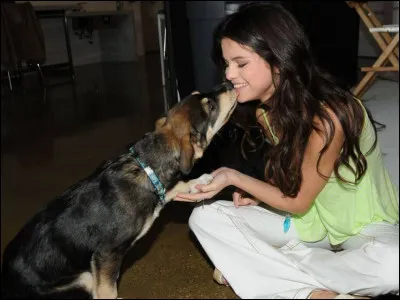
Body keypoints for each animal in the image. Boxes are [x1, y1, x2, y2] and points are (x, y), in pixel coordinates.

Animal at [0, 81, 236, 298]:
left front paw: (198, 181)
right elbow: (108, 291)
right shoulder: (106, 255)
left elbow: (175, 186)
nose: (228, 83)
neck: (146, 166)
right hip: (83, 277)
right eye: (211, 107)